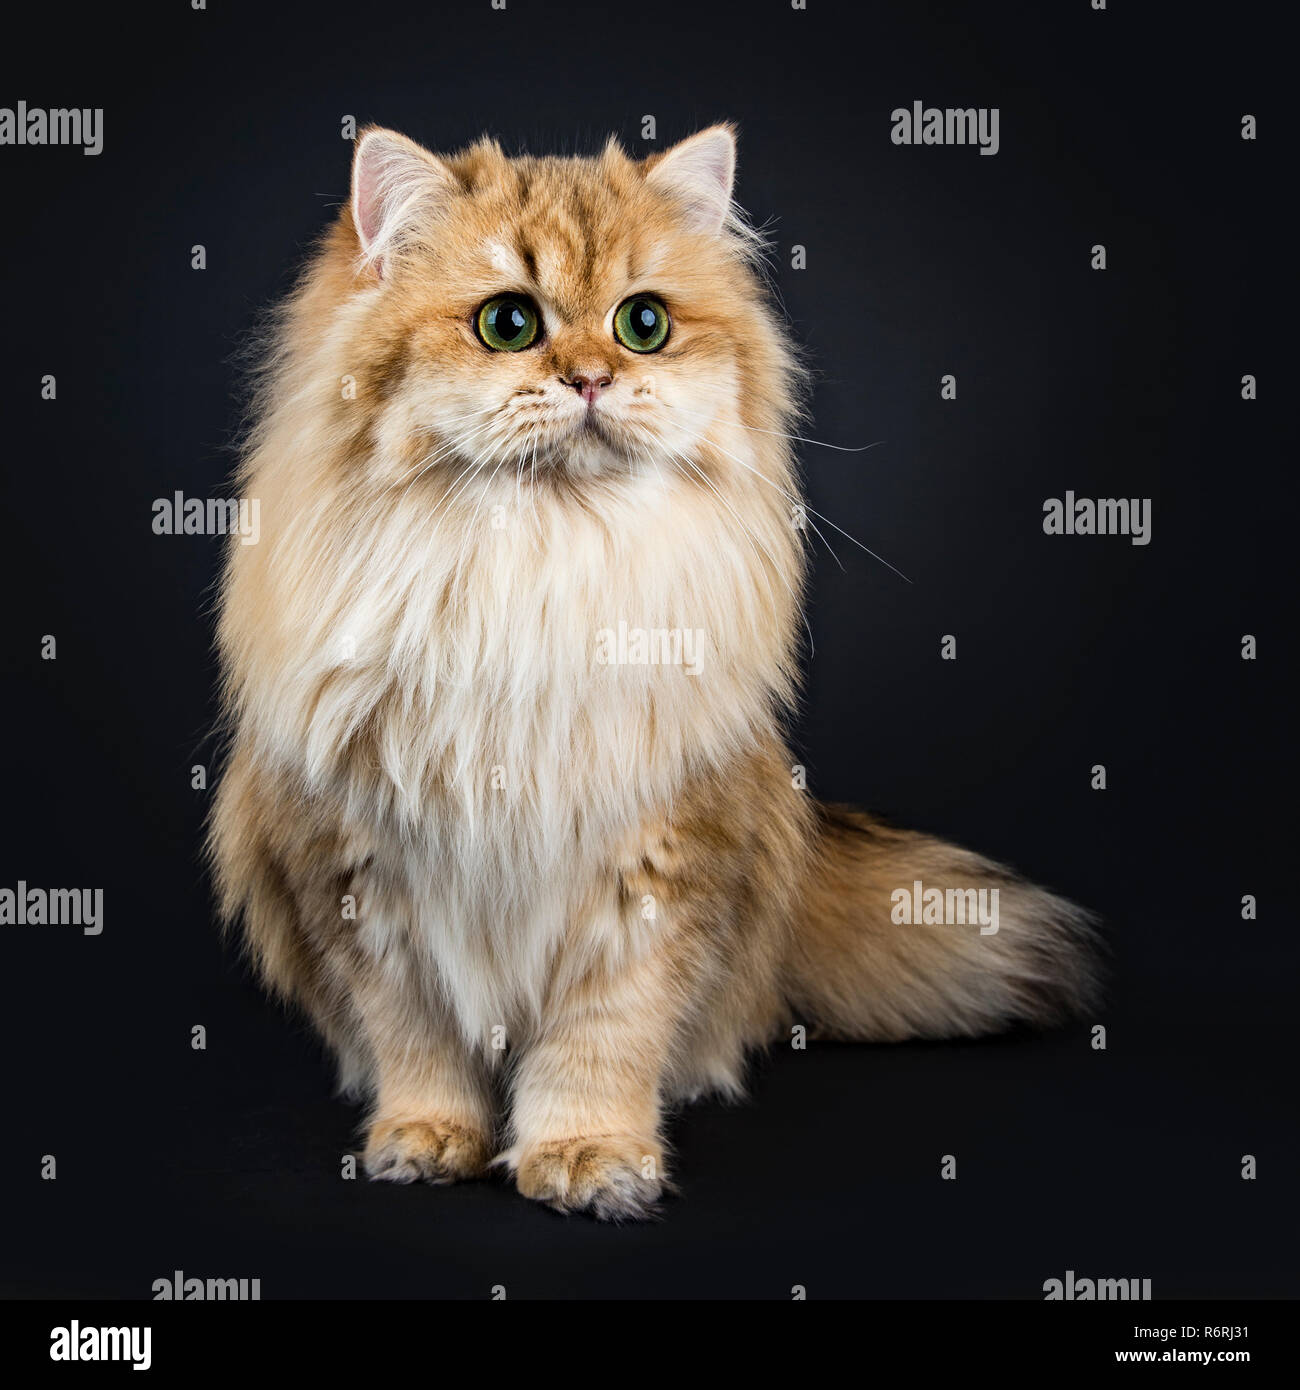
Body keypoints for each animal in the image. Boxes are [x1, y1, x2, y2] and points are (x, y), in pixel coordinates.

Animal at [211, 125, 1095, 1223]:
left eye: (643, 325)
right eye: (508, 323)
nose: (592, 377)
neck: (538, 569)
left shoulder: (660, 865)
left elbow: (603, 1039)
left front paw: (588, 1156)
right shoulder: (356, 871)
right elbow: (414, 1037)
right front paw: (427, 1140)